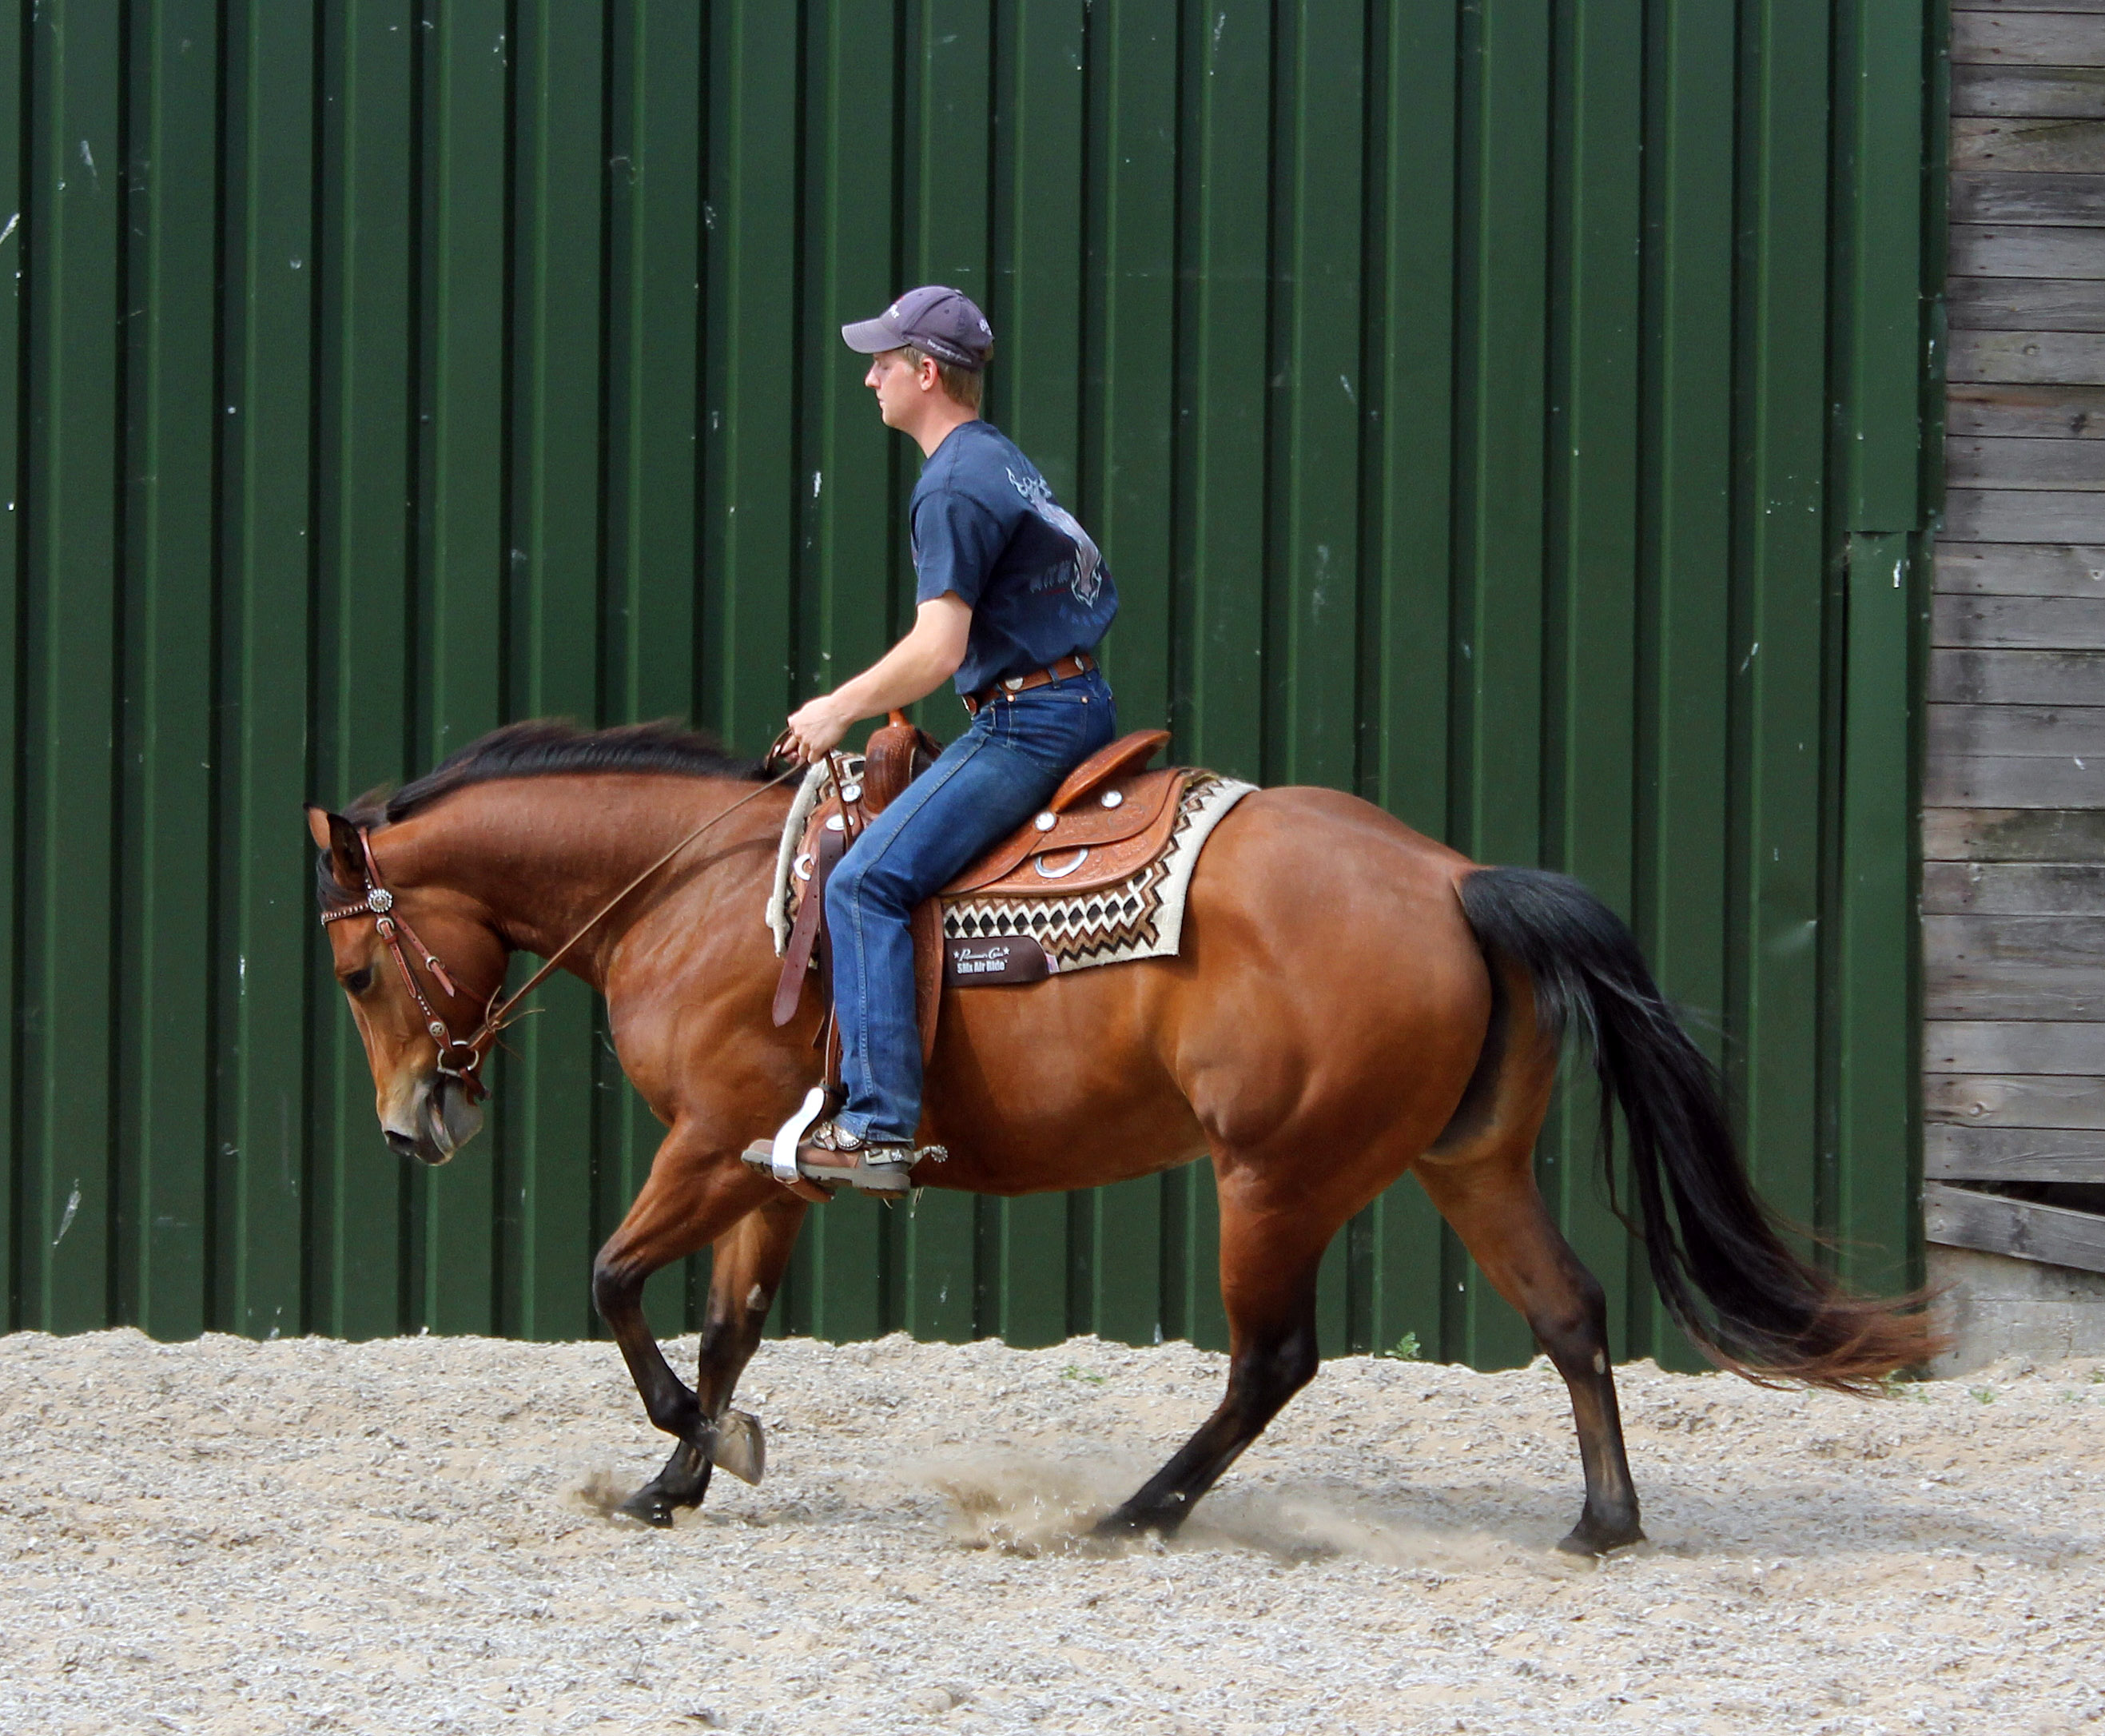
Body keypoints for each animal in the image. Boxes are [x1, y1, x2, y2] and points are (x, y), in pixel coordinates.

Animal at [308, 719, 1933, 1554]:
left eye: (354, 971)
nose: (408, 1125)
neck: (701, 892)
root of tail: (1455, 879)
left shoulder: (704, 1147)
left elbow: (613, 1282)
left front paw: (682, 1448)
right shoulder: (769, 1167)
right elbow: (729, 1326)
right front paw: (683, 1473)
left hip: (1274, 1176)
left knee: (1274, 1360)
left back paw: (1133, 1510)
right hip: (1461, 1164)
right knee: (1571, 1311)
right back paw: (1601, 1520)